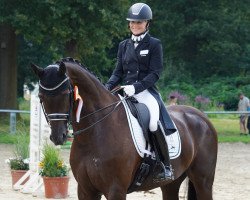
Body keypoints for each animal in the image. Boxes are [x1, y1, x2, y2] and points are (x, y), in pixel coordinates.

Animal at [31, 57, 218, 199]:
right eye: (41, 96)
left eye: (65, 94)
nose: (58, 136)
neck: (94, 133)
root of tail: (201, 116)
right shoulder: (85, 189)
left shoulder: (115, 190)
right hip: (171, 183)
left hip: (203, 181)